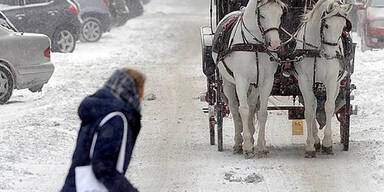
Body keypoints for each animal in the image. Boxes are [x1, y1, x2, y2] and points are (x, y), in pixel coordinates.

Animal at [212, 0, 286, 159]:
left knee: (252, 106)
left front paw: (261, 146)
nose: (275, 44)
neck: (255, 46)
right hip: (228, 82)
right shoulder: (241, 80)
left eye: (280, 14)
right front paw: (247, 147)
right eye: (262, 15)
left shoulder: (266, 81)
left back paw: (251, 135)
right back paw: (238, 143)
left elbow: (262, 112)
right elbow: (243, 110)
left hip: (255, 85)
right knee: (234, 108)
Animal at [294, 0, 354, 158]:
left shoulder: (332, 80)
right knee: (313, 105)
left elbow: (329, 107)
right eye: (326, 25)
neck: (317, 50)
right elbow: (309, 111)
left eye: (343, 26)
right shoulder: (304, 81)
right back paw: (315, 140)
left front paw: (327, 144)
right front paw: (310, 146)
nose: (331, 54)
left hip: (338, 84)